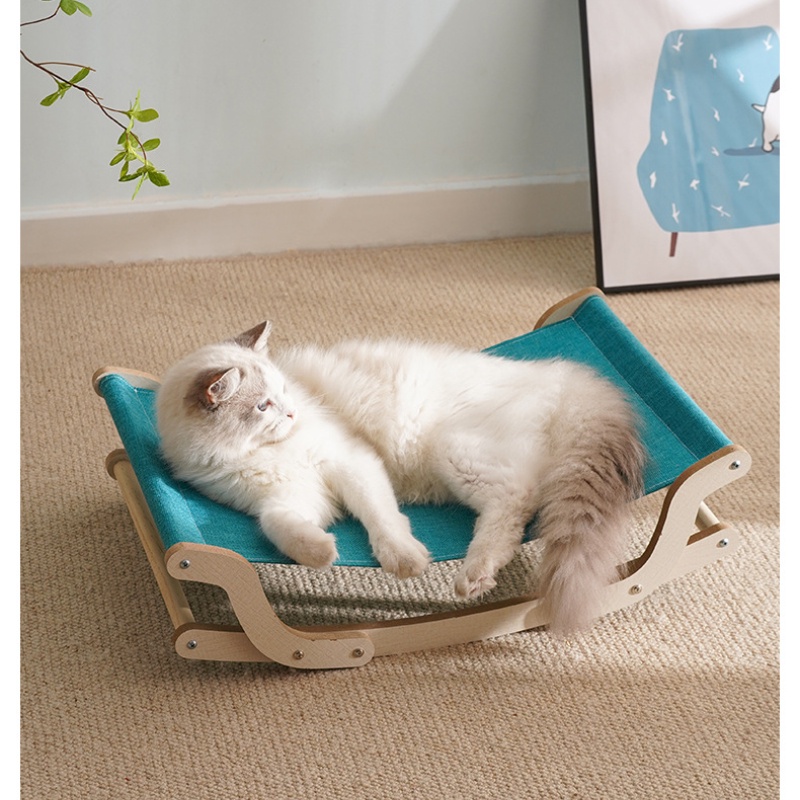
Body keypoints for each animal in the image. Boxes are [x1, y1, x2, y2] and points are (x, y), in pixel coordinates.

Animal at [156, 321, 645, 634]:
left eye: (284, 392)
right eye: (263, 405)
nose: (292, 412)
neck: (258, 452)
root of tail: (560, 373)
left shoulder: (352, 462)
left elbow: (383, 521)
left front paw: (405, 560)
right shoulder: (288, 499)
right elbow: (280, 527)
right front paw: (321, 552)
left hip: (456, 449)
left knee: (516, 499)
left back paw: (473, 573)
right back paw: (478, 576)